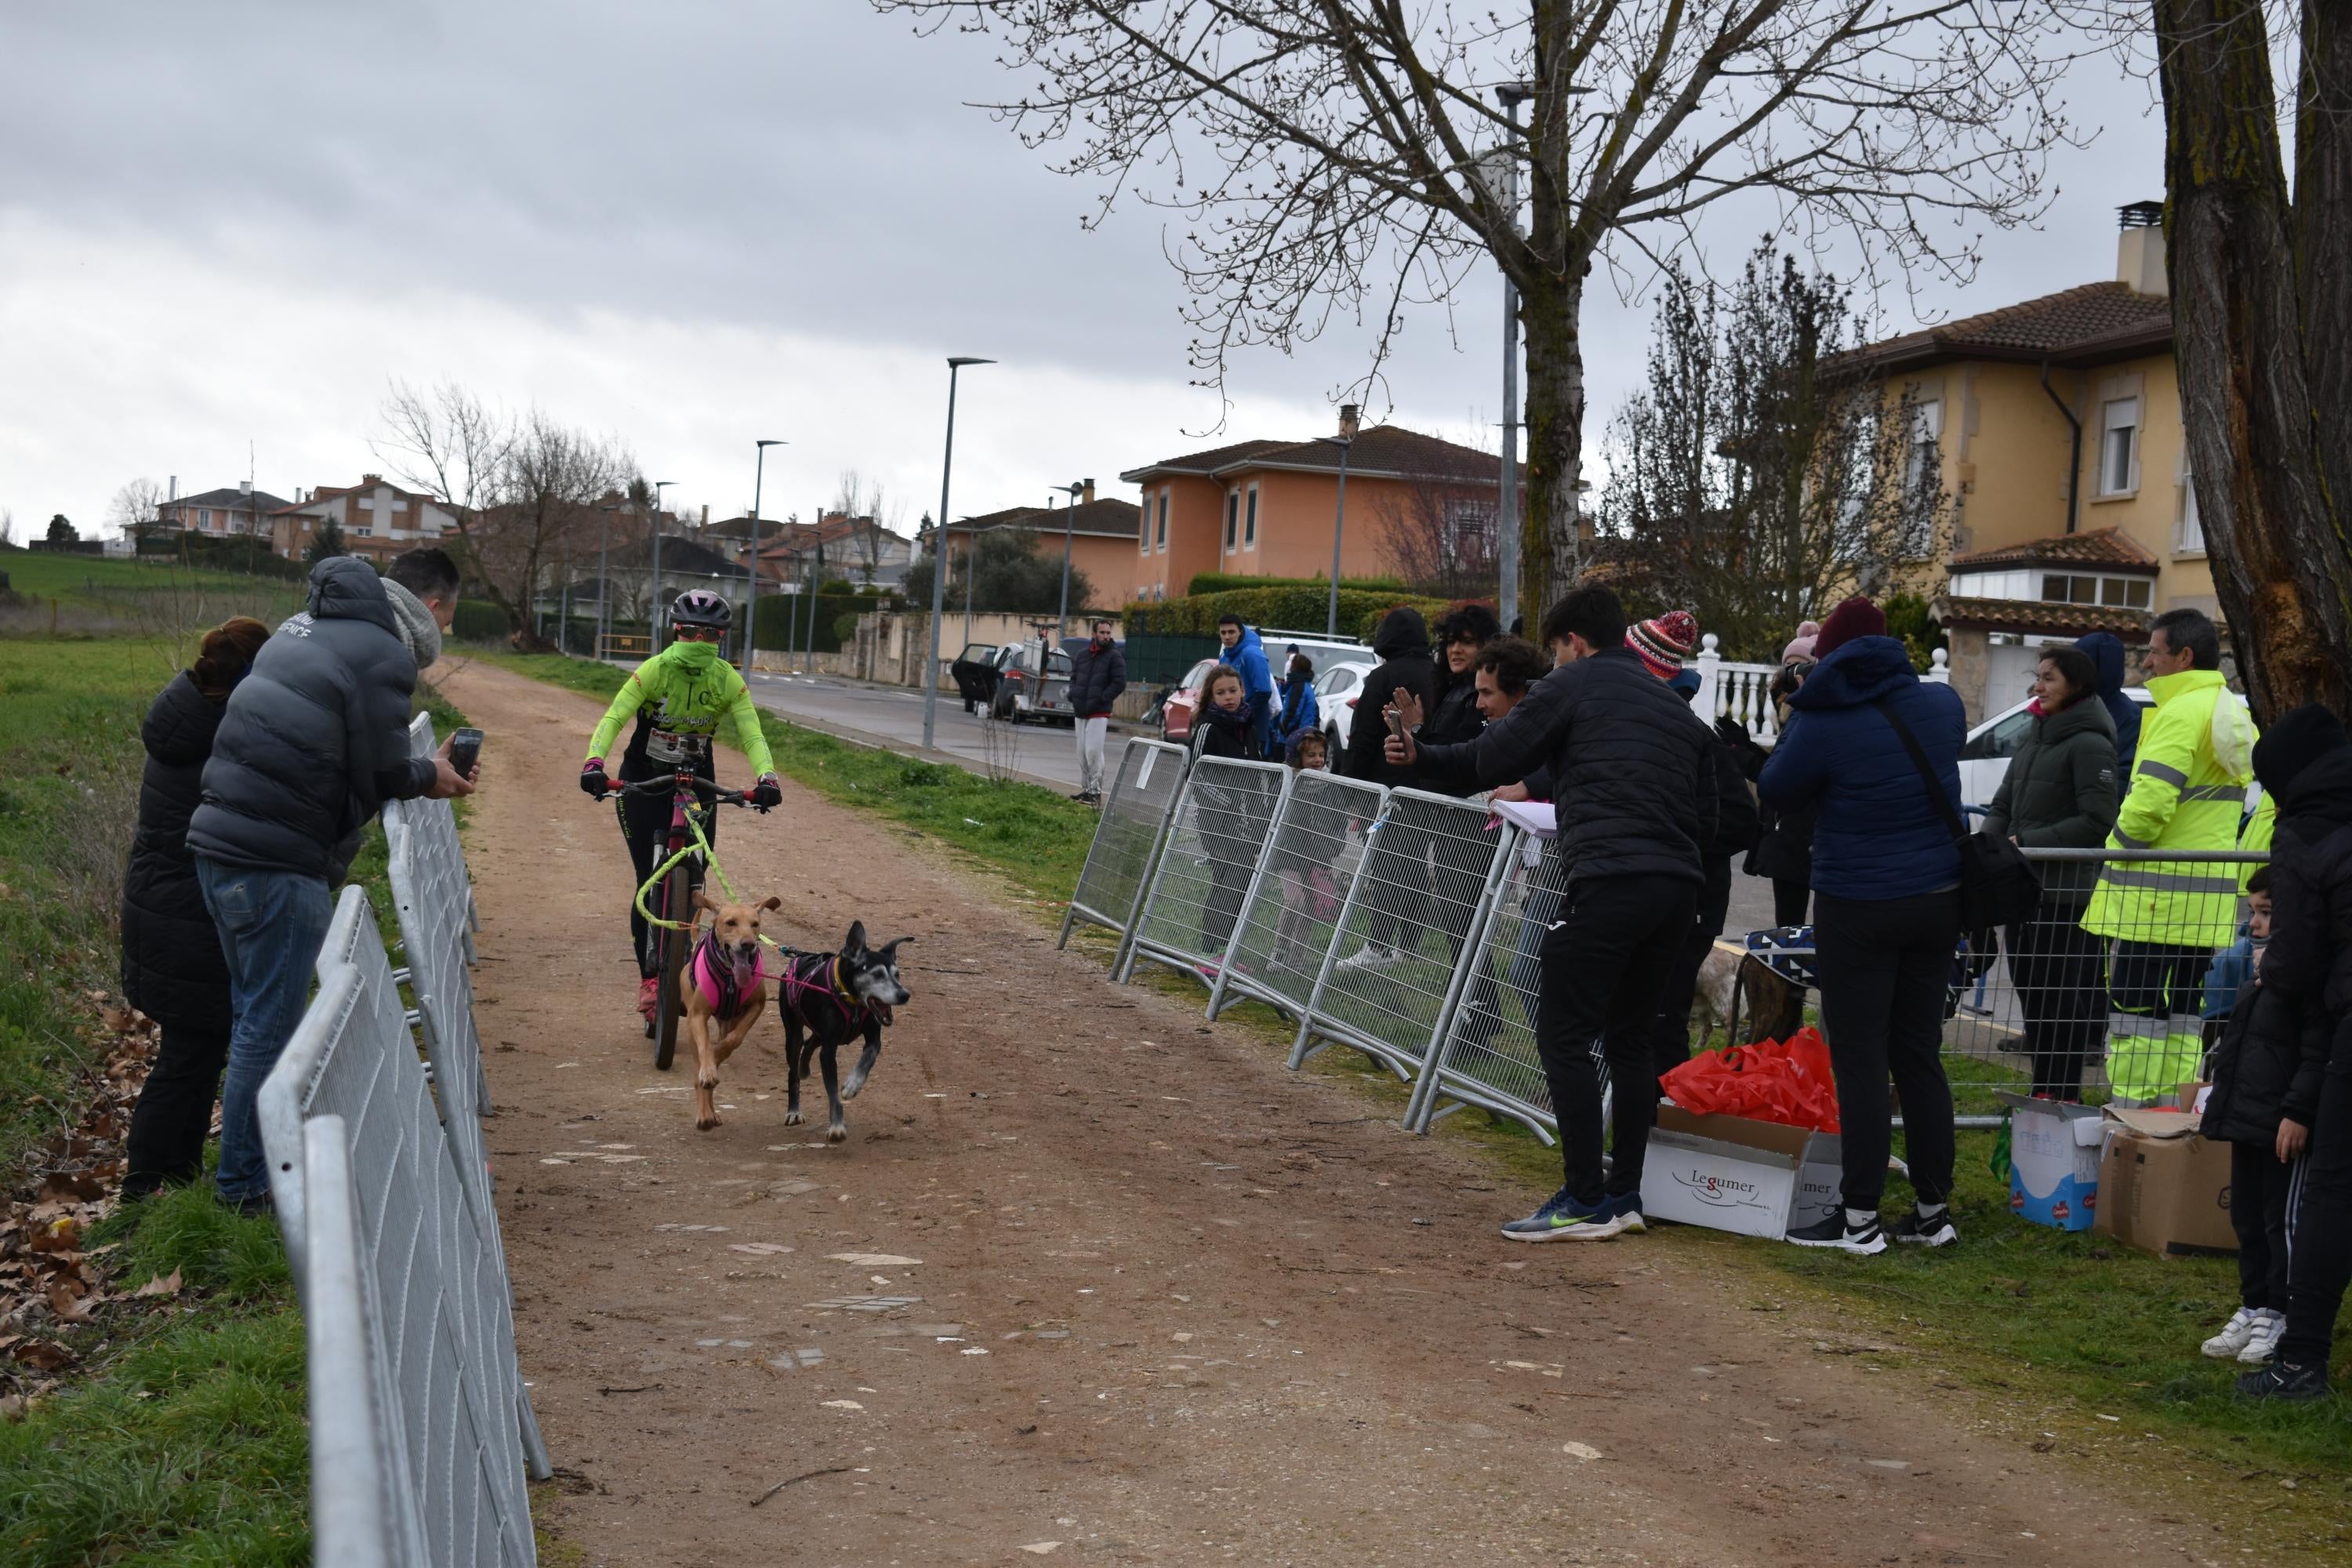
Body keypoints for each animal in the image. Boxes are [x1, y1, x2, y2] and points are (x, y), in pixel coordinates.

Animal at [682, 893, 781, 1128]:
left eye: (755, 924)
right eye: (731, 923)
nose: (748, 944)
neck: (730, 977)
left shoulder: (756, 1006)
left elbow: (734, 1040)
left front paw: (719, 1053)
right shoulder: (698, 1015)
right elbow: (705, 1049)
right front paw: (709, 1070)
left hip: (727, 1021)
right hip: (691, 1028)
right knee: (697, 1071)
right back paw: (705, 1114)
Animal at [781, 921, 908, 1142]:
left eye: (897, 974)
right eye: (877, 974)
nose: (904, 994)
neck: (854, 1001)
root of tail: (796, 959)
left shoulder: (873, 1040)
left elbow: (867, 1061)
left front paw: (852, 1085)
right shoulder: (829, 1049)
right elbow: (833, 1093)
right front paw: (837, 1126)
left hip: (819, 1032)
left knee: (810, 1044)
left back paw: (805, 1067)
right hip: (793, 1034)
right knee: (793, 1070)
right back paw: (794, 1110)